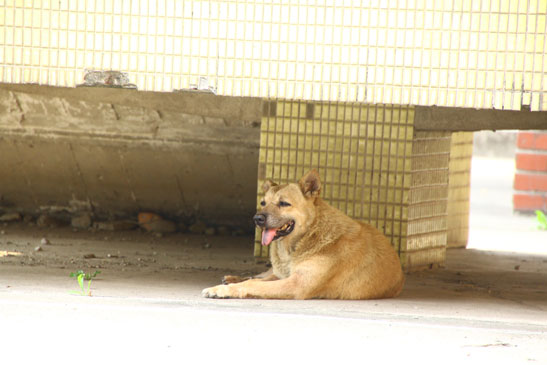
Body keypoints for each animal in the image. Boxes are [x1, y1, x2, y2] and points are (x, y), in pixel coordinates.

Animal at [203, 168, 404, 298]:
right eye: (263, 203)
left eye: (284, 203)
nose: (257, 218)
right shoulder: (286, 277)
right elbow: (256, 280)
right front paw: (228, 284)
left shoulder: (297, 284)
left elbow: (254, 284)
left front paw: (222, 290)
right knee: (260, 275)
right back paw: (232, 278)